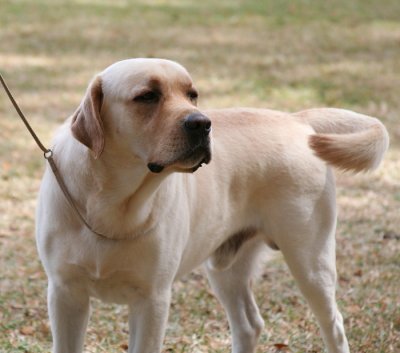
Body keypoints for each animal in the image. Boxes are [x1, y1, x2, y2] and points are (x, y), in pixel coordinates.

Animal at [36, 58, 390, 352]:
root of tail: (295, 119)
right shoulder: (65, 294)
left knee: (334, 326)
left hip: (310, 261)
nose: (202, 123)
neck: (113, 203)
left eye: (192, 95)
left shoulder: (152, 300)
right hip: (226, 268)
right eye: (147, 96)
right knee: (249, 324)